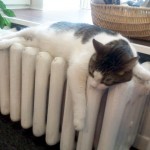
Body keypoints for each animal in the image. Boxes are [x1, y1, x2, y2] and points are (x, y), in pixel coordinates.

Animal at [0, 21, 150, 131]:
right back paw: (3, 40)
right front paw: (79, 120)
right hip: (35, 30)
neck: (116, 44)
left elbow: (137, 67)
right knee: (18, 33)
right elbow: (79, 97)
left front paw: (145, 74)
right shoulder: (76, 69)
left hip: (32, 43)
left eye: (108, 79)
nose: (93, 85)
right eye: (91, 71)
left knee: (18, 39)